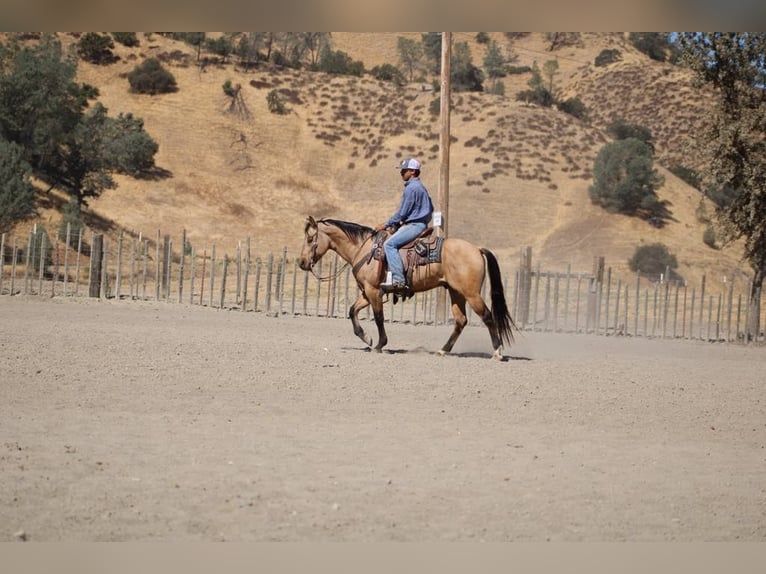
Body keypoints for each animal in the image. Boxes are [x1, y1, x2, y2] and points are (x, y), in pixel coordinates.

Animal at [296, 217, 520, 360]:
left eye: (310, 239)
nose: (302, 262)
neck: (364, 249)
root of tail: (476, 249)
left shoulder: (373, 291)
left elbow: (378, 317)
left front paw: (380, 344)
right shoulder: (367, 292)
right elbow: (352, 311)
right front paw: (367, 338)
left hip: (471, 294)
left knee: (488, 317)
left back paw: (498, 352)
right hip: (456, 292)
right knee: (461, 321)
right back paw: (443, 350)